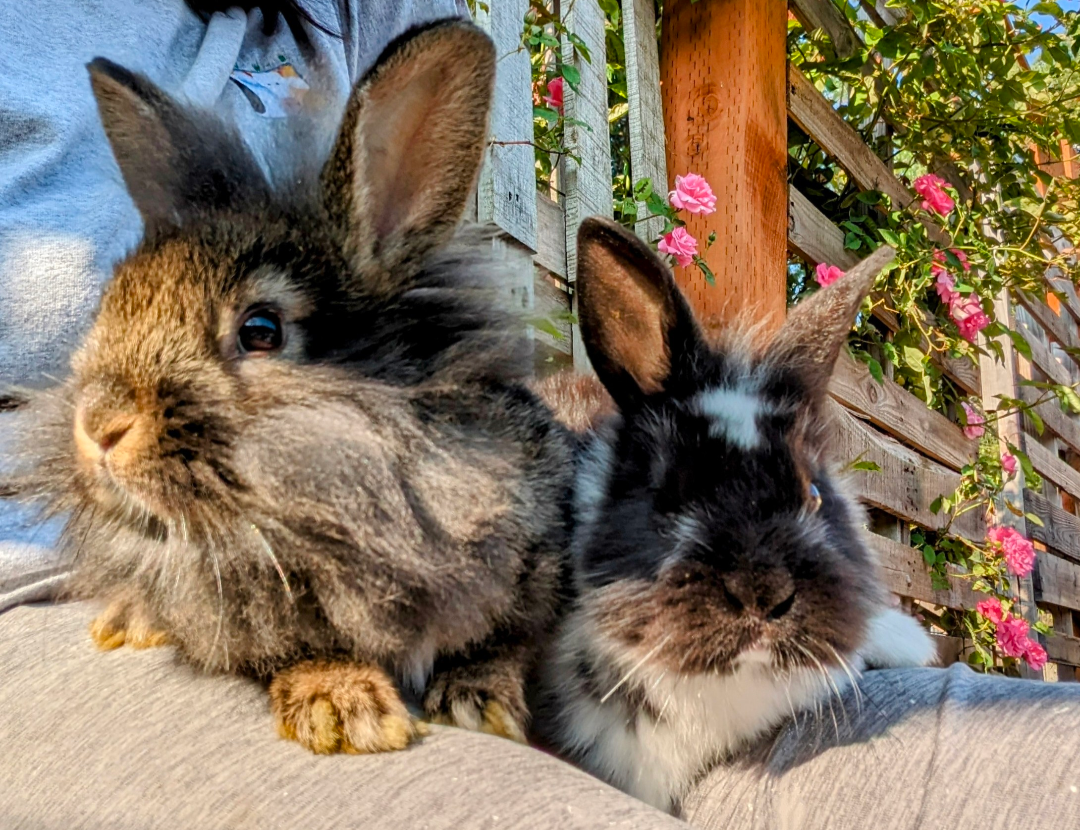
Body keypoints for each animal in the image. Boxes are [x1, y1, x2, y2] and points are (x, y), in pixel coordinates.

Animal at [7, 20, 575, 755]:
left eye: (261, 330)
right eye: (113, 300)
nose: (98, 424)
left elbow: (509, 639)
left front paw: (479, 701)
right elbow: (291, 643)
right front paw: (346, 708)